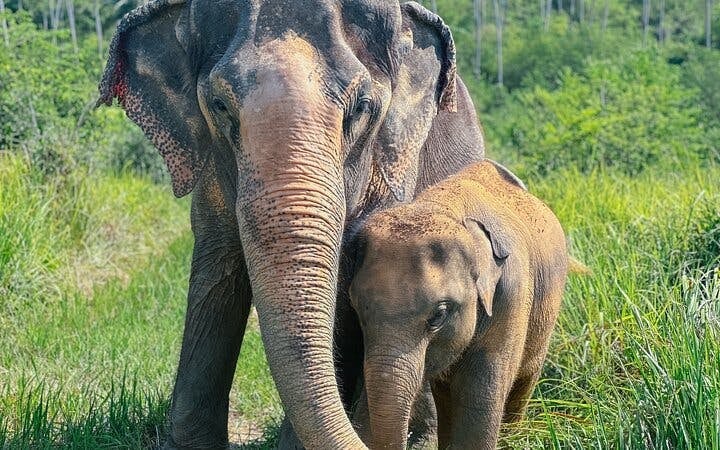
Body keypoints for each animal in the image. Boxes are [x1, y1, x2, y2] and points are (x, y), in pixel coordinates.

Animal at [348, 159, 569, 449]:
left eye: (439, 315)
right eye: (356, 308)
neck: (444, 209)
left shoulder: (511, 298)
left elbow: (480, 402)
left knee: (524, 380)